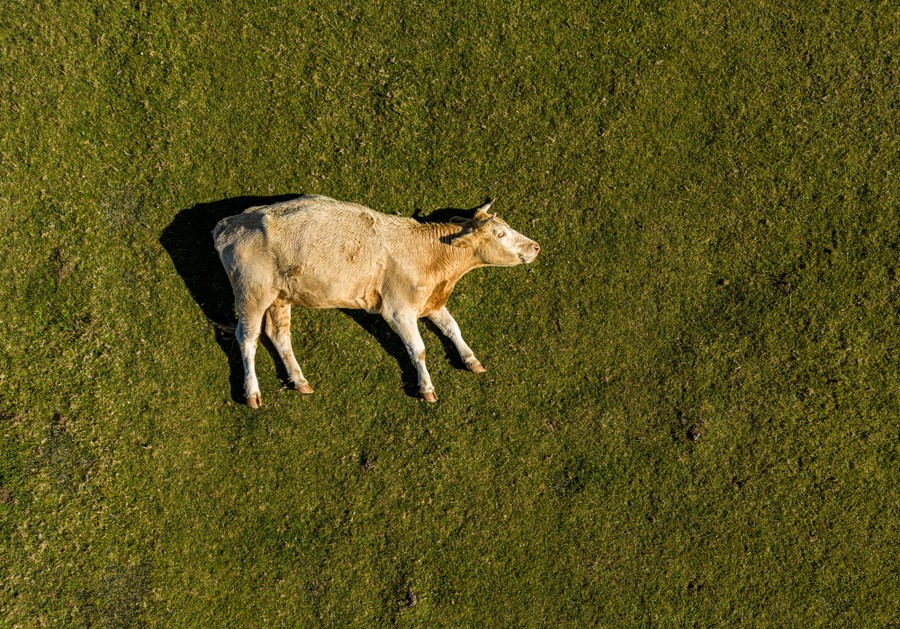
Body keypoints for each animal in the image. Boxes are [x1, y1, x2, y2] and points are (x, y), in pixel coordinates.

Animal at [212, 195, 540, 407]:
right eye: (501, 233)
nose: (536, 246)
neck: (432, 258)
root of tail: (230, 222)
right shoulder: (398, 309)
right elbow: (418, 349)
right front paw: (426, 387)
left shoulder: (430, 301)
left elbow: (452, 328)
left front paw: (471, 359)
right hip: (251, 292)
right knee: (247, 338)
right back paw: (252, 392)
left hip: (280, 296)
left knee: (279, 335)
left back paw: (299, 380)